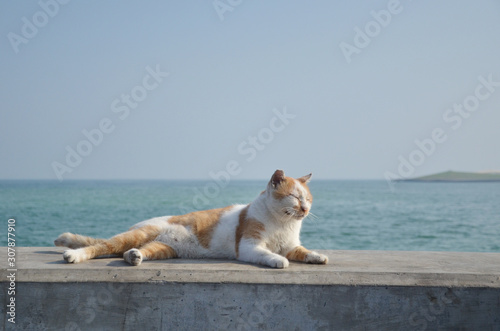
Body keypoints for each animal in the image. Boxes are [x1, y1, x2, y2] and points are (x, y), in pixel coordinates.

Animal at [54, 170, 328, 268]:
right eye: (294, 197)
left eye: (308, 199)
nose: (305, 209)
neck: (283, 223)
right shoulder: (250, 246)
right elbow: (269, 254)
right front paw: (278, 260)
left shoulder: (291, 245)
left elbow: (303, 251)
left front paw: (317, 256)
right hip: (138, 234)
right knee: (101, 246)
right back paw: (74, 255)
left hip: (163, 249)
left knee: (130, 252)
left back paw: (134, 257)